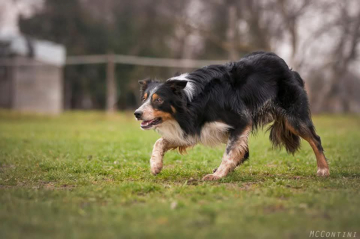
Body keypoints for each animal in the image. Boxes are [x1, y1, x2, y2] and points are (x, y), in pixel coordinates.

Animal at [134, 51, 330, 180]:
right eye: (144, 99)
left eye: (158, 100)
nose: (137, 113)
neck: (190, 99)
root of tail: (289, 68)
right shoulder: (195, 127)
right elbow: (160, 142)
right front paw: (155, 166)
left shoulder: (240, 119)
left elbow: (229, 152)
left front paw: (217, 176)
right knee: (245, 153)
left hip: (292, 115)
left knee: (315, 139)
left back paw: (323, 170)